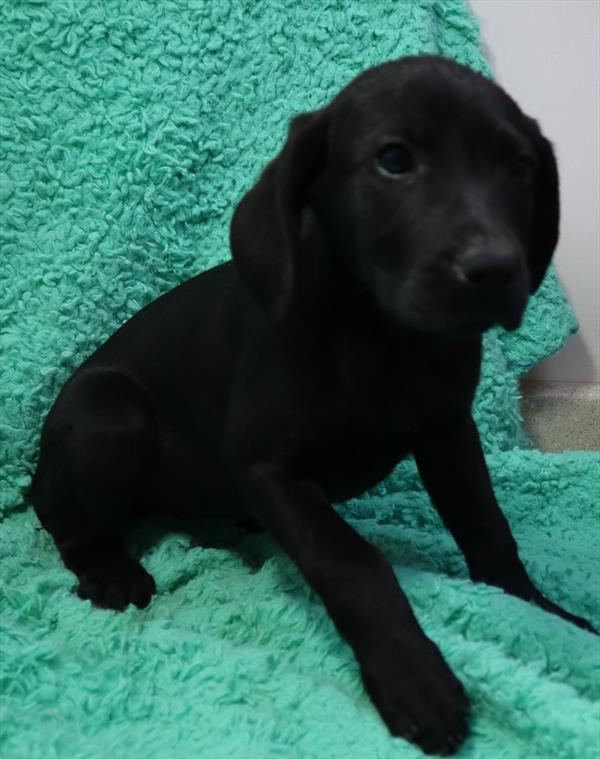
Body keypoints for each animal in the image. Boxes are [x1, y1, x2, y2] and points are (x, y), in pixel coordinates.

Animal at [31, 58, 596, 756]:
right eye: (393, 160)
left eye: (520, 167)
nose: (494, 270)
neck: (381, 336)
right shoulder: (267, 469)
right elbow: (352, 561)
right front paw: (413, 676)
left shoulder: (448, 432)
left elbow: (487, 524)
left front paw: (535, 610)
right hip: (111, 415)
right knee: (64, 516)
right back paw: (108, 569)